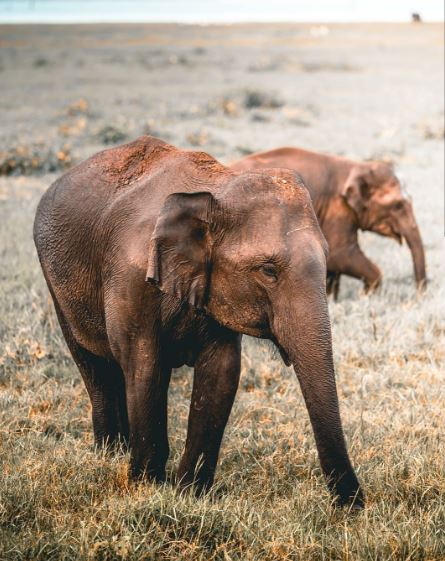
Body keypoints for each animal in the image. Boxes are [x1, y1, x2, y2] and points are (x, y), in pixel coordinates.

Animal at [33, 136, 362, 508]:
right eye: (268, 271)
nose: (353, 505)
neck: (216, 189)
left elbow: (222, 372)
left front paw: (189, 494)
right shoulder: (129, 277)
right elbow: (145, 365)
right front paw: (147, 488)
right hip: (56, 283)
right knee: (92, 363)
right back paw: (110, 454)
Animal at [231, 148, 424, 298]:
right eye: (398, 206)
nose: (418, 297)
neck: (355, 167)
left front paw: (335, 298)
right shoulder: (337, 209)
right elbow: (341, 255)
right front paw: (365, 296)